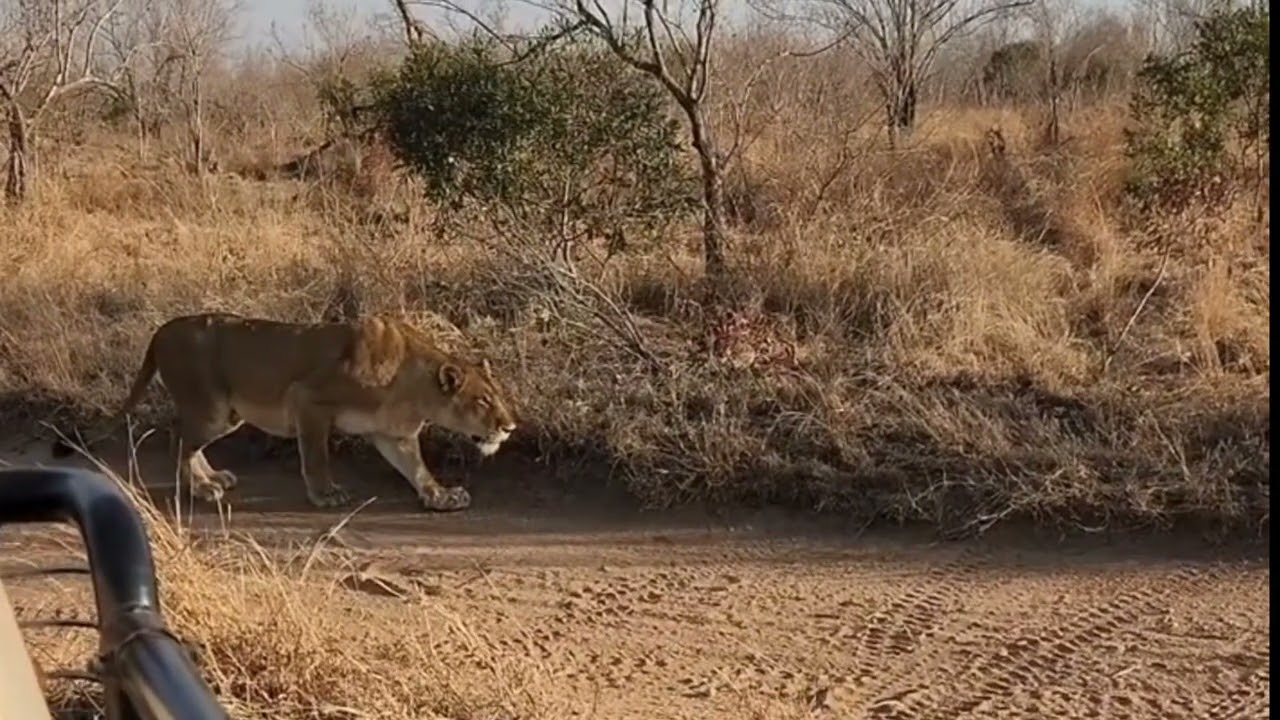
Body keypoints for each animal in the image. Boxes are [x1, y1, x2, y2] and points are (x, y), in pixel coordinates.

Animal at [51, 312, 518, 512]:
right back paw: (199, 489)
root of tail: (160, 330)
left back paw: (213, 478)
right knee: (177, 441)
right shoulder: (308, 399)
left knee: (185, 441)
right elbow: (316, 456)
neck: (412, 384)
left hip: (226, 414)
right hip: (212, 408)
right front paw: (325, 494)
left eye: (498, 395)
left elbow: (417, 469)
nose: (510, 427)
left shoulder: (393, 434)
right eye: (482, 401)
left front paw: (441, 496)